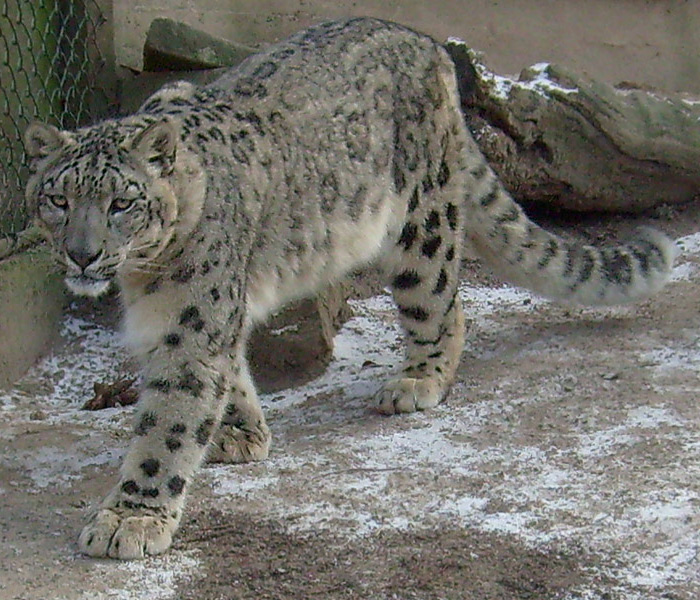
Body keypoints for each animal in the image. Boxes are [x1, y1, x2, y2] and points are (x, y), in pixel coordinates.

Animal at [24, 19, 676, 564]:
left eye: (121, 202)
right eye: (57, 199)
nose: (82, 253)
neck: (143, 276)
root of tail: (425, 43)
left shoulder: (192, 325)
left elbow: (168, 425)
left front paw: (130, 517)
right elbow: (228, 373)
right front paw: (242, 433)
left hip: (420, 226)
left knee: (442, 301)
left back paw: (419, 380)